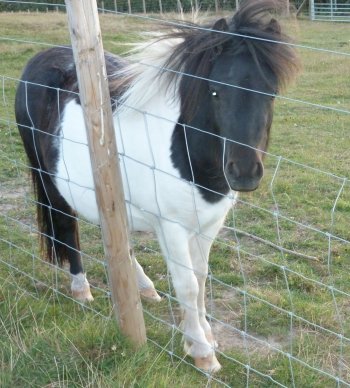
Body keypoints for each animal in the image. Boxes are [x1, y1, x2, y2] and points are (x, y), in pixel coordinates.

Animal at [13, 1, 298, 374]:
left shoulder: (208, 224)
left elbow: (201, 278)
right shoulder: (172, 227)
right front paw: (201, 351)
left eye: (271, 93)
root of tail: (37, 61)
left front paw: (206, 335)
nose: (245, 173)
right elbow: (187, 285)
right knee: (66, 226)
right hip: (51, 180)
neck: (189, 155)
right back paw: (81, 288)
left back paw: (144, 288)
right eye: (215, 91)